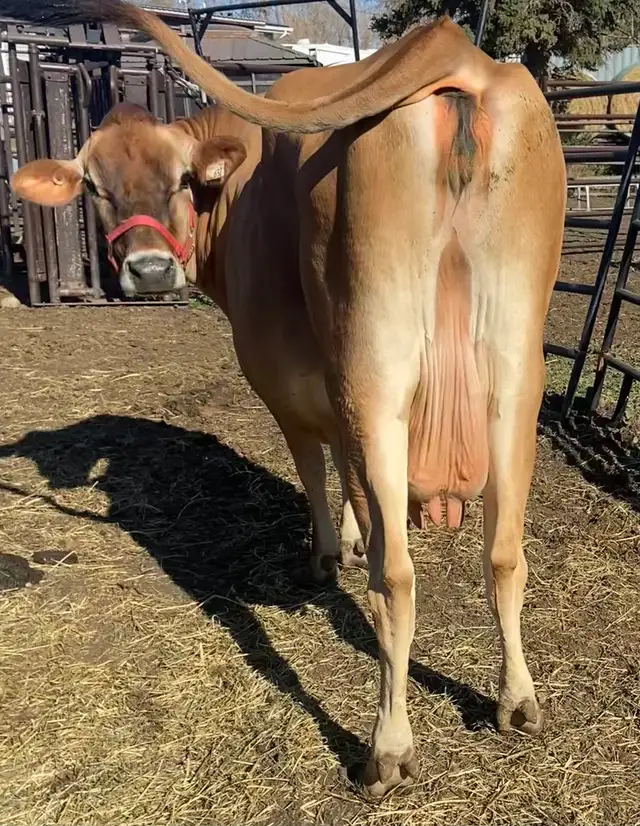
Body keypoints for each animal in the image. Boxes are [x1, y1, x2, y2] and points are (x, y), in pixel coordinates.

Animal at [8, 0, 566, 797]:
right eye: (96, 186)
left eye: (180, 180)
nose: (149, 271)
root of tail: (456, 50)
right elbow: (351, 479)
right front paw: (353, 535)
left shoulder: (283, 380)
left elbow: (313, 464)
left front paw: (328, 553)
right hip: (515, 373)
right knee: (505, 554)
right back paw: (518, 702)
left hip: (375, 366)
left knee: (396, 581)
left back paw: (386, 750)